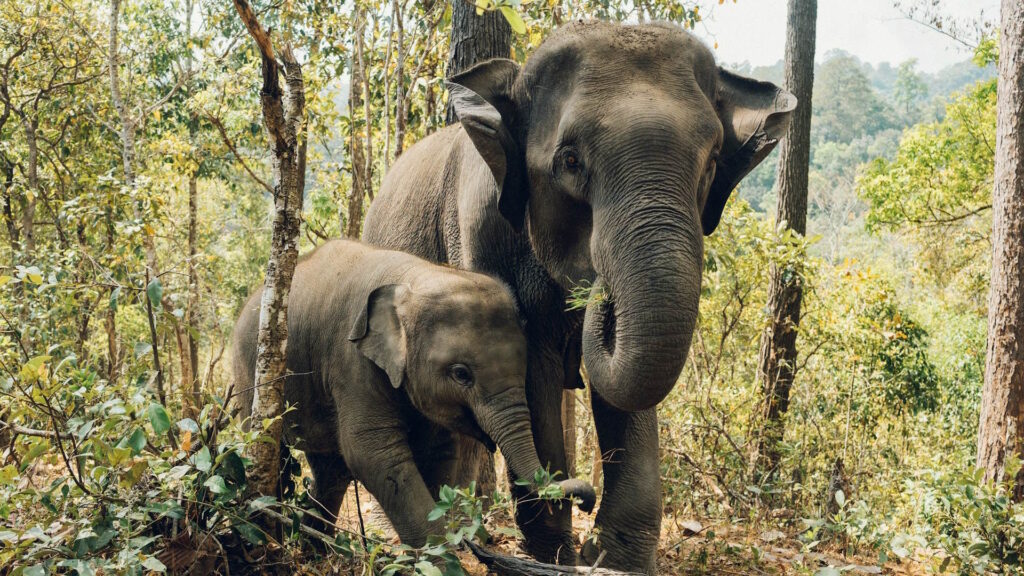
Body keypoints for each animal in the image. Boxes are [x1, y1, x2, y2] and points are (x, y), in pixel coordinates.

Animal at [231, 239, 596, 547]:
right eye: (461, 374)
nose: (587, 502)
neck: (415, 277)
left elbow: (438, 451)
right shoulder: (352, 361)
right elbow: (373, 451)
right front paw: (443, 555)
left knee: (331, 470)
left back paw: (315, 550)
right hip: (250, 374)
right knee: (273, 451)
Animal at [361, 20, 796, 572]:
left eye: (713, 162)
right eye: (570, 161)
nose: (598, 289)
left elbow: (626, 388)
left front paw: (614, 558)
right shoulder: (481, 234)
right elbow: (534, 370)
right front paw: (559, 554)